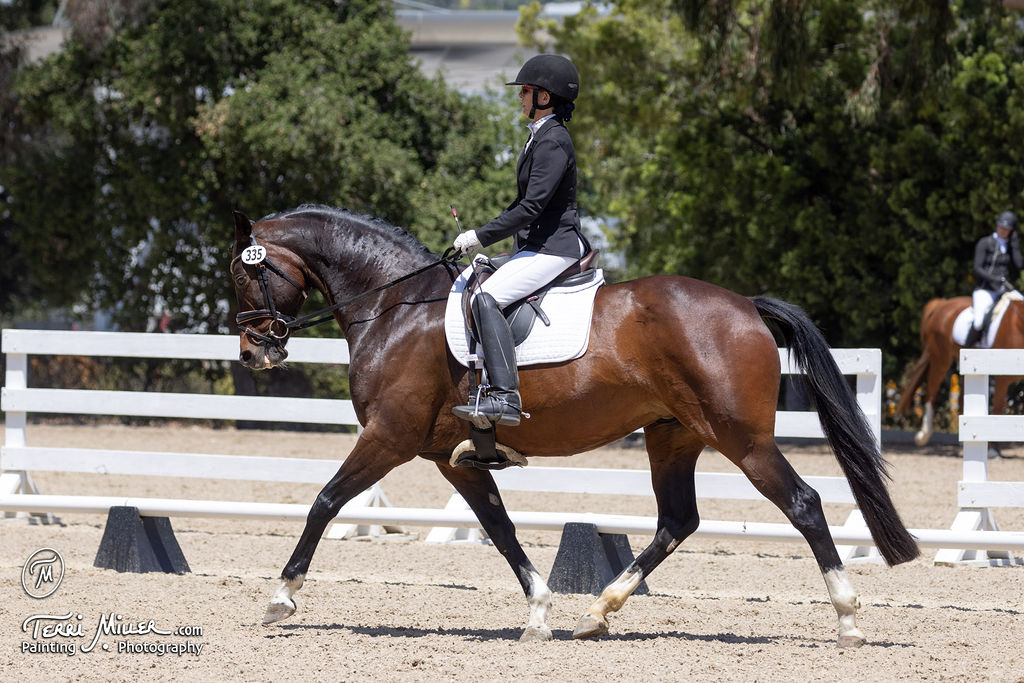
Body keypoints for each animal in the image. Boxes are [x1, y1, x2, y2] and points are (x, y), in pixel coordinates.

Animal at [229, 204, 919, 648]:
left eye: (243, 271)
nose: (254, 353)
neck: (395, 307)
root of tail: (746, 306)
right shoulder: (448, 456)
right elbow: (499, 529)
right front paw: (538, 612)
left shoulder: (389, 438)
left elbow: (324, 502)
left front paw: (281, 597)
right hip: (674, 436)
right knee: (678, 521)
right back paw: (597, 613)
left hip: (743, 440)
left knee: (802, 503)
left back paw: (848, 620)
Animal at [897, 296, 1024, 446]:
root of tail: (943, 304)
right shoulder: (1002, 380)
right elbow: (998, 410)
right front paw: (993, 448)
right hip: (941, 359)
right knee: (931, 391)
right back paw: (924, 435)